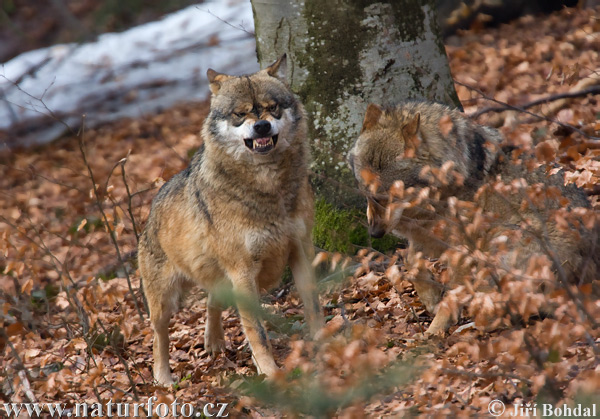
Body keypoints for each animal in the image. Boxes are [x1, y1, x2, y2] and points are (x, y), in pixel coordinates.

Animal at [138, 56, 324, 388]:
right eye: (240, 114)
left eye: (272, 107)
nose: (261, 125)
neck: (268, 189)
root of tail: (151, 210)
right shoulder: (243, 272)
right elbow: (257, 332)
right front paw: (271, 373)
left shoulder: (301, 251)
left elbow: (312, 304)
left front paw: (326, 342)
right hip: (165, 301)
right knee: (158, 336)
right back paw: (163, 378)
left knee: (212, 302)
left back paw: (213, 343)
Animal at [346, 101, 596, 338]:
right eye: (366, 192)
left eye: (388, 196)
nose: (374, 233)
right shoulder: (423, 237)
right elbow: (411, 263)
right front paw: (431, 300)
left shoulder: (462, 249)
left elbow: (452, 295)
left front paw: (434, 331)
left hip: (504, 240)